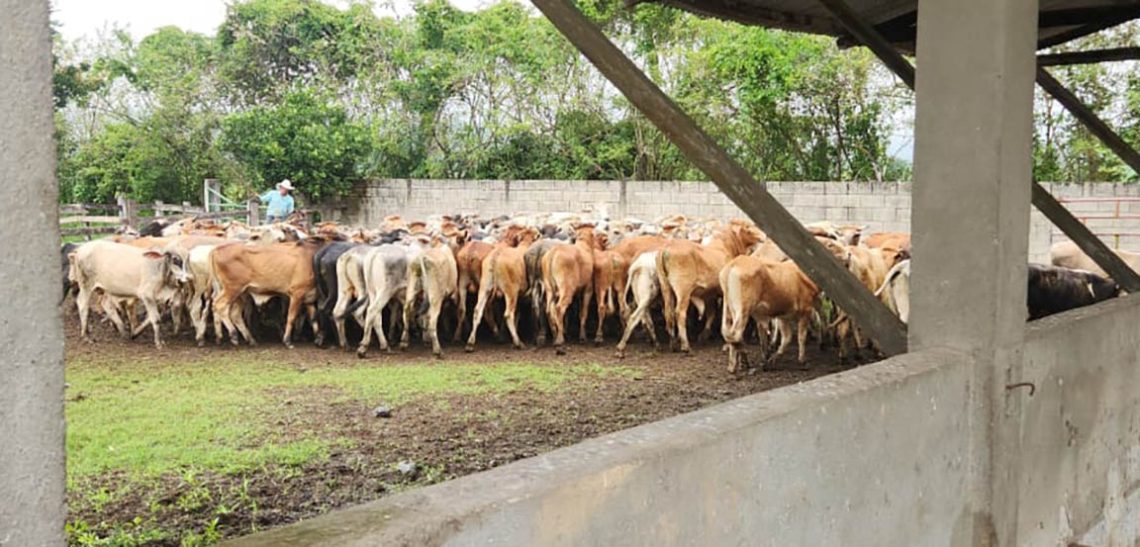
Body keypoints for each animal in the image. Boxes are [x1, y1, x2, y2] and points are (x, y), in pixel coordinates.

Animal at [656, 219, 761, 353]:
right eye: (747, 226)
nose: (762, 236)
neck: (727, 247)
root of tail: (666, 248)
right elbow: (727, 316)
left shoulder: (710, 293)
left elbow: (711, 312)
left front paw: (704, 334)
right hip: (683, 289)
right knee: (679, 313)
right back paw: (685, 346)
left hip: (666, 286)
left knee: (668, 312)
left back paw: (673, 343)